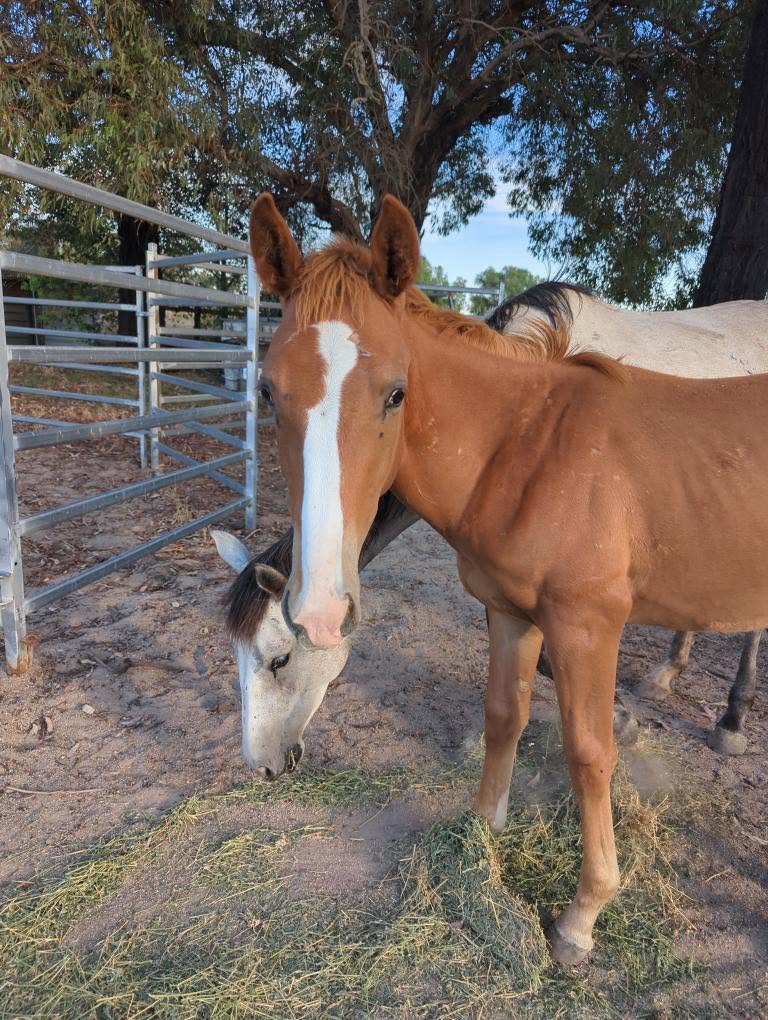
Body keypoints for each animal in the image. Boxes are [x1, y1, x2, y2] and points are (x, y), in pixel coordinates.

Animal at [248, 192, 768, 966]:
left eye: (396, 393)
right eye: (266, 391)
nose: (318, 613)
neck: (530, 447)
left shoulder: (586, 628)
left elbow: (589, 753)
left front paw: (582, 918)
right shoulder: (510, 613)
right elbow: (505, 715)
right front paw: (484, 834)